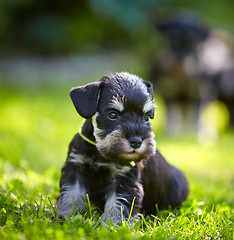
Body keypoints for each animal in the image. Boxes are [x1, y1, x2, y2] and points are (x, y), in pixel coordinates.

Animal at [56, 71, 188, 225]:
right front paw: (63, 216)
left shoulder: (124, 180)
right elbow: (71, 194)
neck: (100, 153)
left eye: (146, 117)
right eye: (112, 114)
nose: (136, 141)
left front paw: (112, 225)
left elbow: (117, 205)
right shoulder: (75, 169)